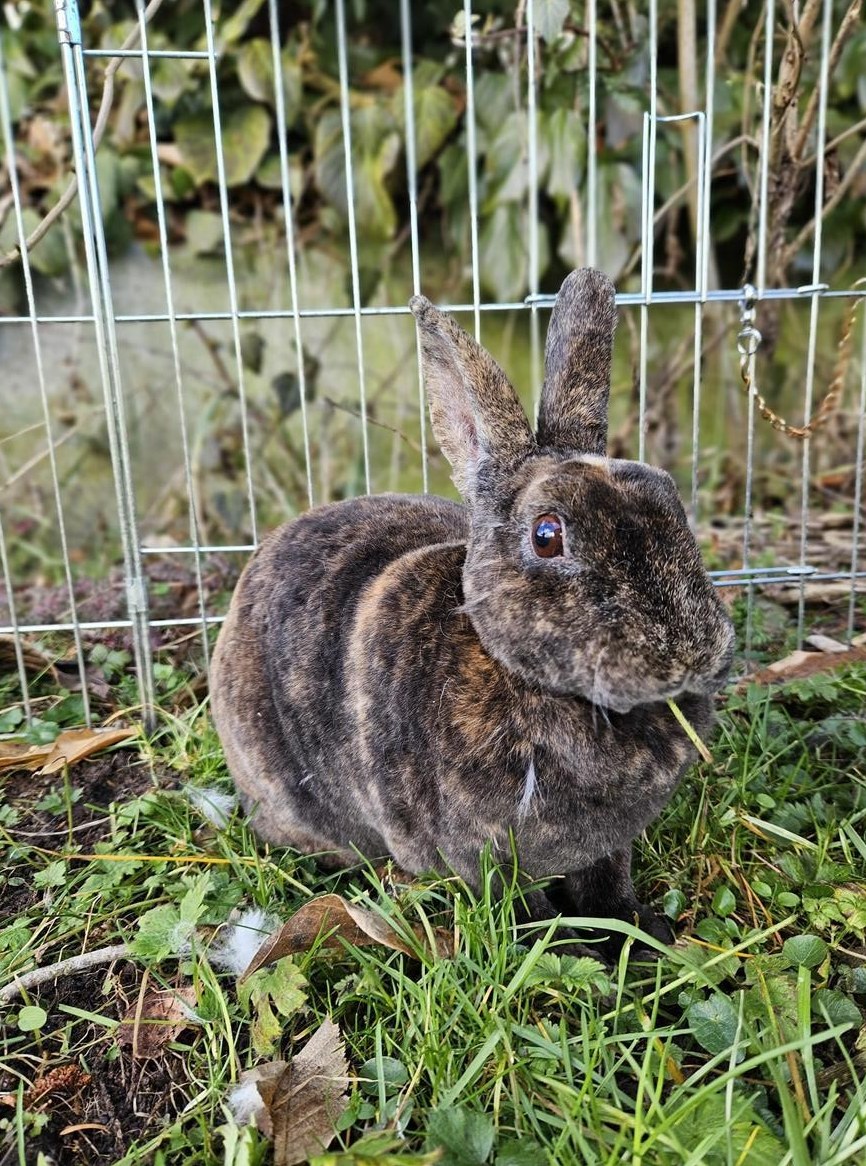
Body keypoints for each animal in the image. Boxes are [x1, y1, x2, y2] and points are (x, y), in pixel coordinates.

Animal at [210, 268, 735, 954]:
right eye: (547, 535)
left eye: (670, 498)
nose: (694, 654)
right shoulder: (484, 856)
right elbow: (527, 908)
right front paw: (571, 952)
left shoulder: (606, 847)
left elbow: (608, 885)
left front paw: (638, 935)